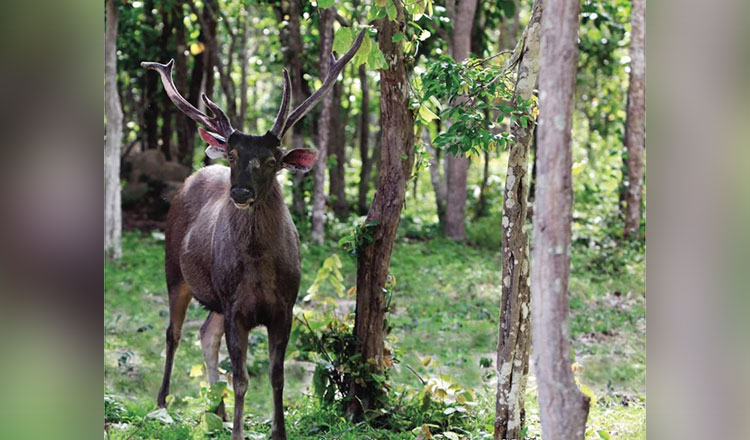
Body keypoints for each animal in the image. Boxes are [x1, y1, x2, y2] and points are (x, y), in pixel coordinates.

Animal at [142, 30, 368, 440]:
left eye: (271, 161)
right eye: (232, 155)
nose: (241, 192)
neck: (261, 269)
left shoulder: (284, 307)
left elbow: (277, 377)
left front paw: (278, 431)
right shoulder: (236, 306)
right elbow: (243, 378)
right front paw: (239, 431)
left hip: (215, 296)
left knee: (205, 334)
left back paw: (215, 411)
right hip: (174, 268)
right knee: (174, 333)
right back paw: (163, 403)